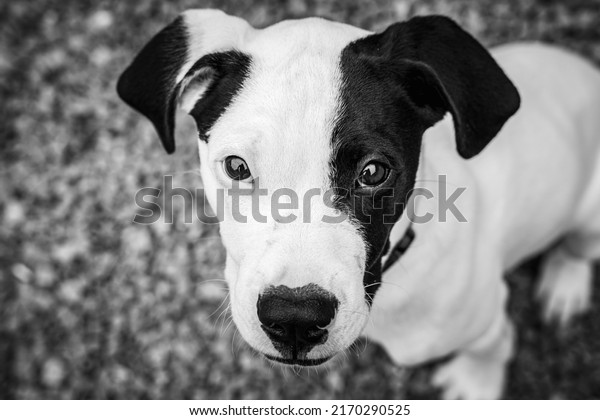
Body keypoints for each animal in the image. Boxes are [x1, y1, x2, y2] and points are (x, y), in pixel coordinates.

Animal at [117, 9, 600, 398]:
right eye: (236, 167)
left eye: (372, 172)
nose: (295, 320)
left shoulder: (484, 320)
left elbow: (494, 348)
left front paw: (474, 384)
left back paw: (565, 280)